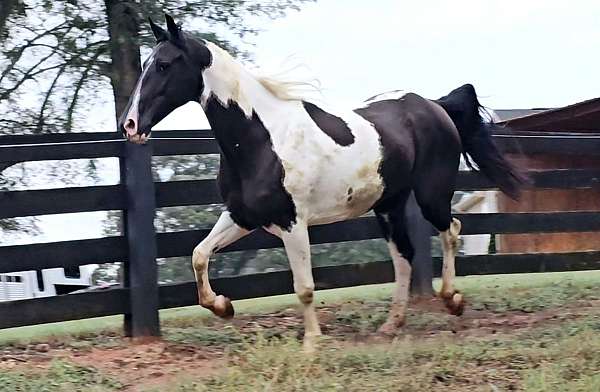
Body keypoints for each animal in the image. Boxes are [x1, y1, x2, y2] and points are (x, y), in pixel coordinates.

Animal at [120, 16, 524, 352]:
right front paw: (223, 307)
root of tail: (433, 105)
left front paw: (312, 342)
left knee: (451, 229)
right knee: (404, 256)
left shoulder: (292, 223)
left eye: (163, 65)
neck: (262, 139)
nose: (130, 125)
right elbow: (199, 255)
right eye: (147, 64)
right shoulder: (241, 216)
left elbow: (304, 287)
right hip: (389, 204)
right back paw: (391, 324)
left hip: (431, 195)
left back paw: (452, 299)